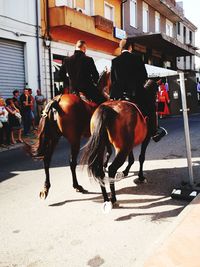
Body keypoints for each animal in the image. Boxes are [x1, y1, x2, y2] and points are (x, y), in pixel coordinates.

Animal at [29, 70, 111, 200]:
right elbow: (108, 151)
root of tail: (56, 101)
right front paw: (104, 165)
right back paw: (77, 185)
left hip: (54, 138)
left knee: (47, 159)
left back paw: (46, 187)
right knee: (72, 162)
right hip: (74, 140)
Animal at [81, 79, 158, 211]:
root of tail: (107, 108)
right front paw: (140, 176)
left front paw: (126, 172)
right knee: (112, 168)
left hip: (102, 147)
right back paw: (113, 198)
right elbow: (141, 158)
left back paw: (106, 198)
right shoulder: (145, 139)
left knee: (100, 171)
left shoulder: (129, 144)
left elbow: (131, 159)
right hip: (122, 149)